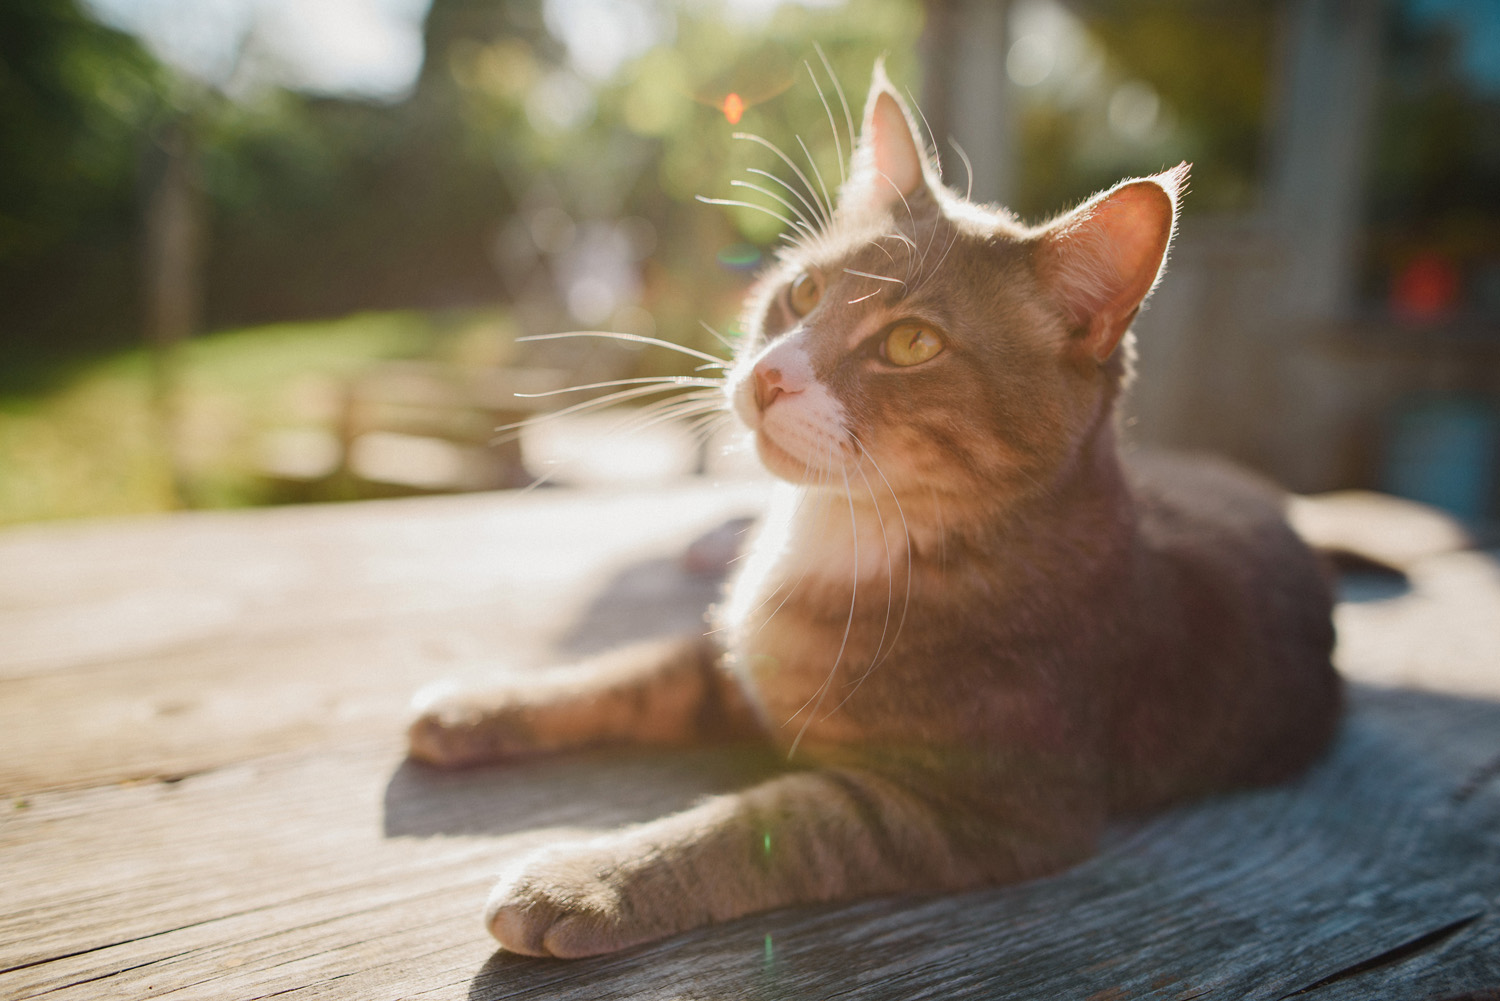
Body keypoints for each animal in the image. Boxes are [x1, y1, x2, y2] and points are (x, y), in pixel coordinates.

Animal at [405, 64, 1344, 960]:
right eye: (802, 291)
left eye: (912, 343)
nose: (767, 376)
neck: (847, 533)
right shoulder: (734, 657)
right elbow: (632, 672)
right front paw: (482, 705)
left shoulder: (985, 807)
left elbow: (764, 825)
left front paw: (590, 878)